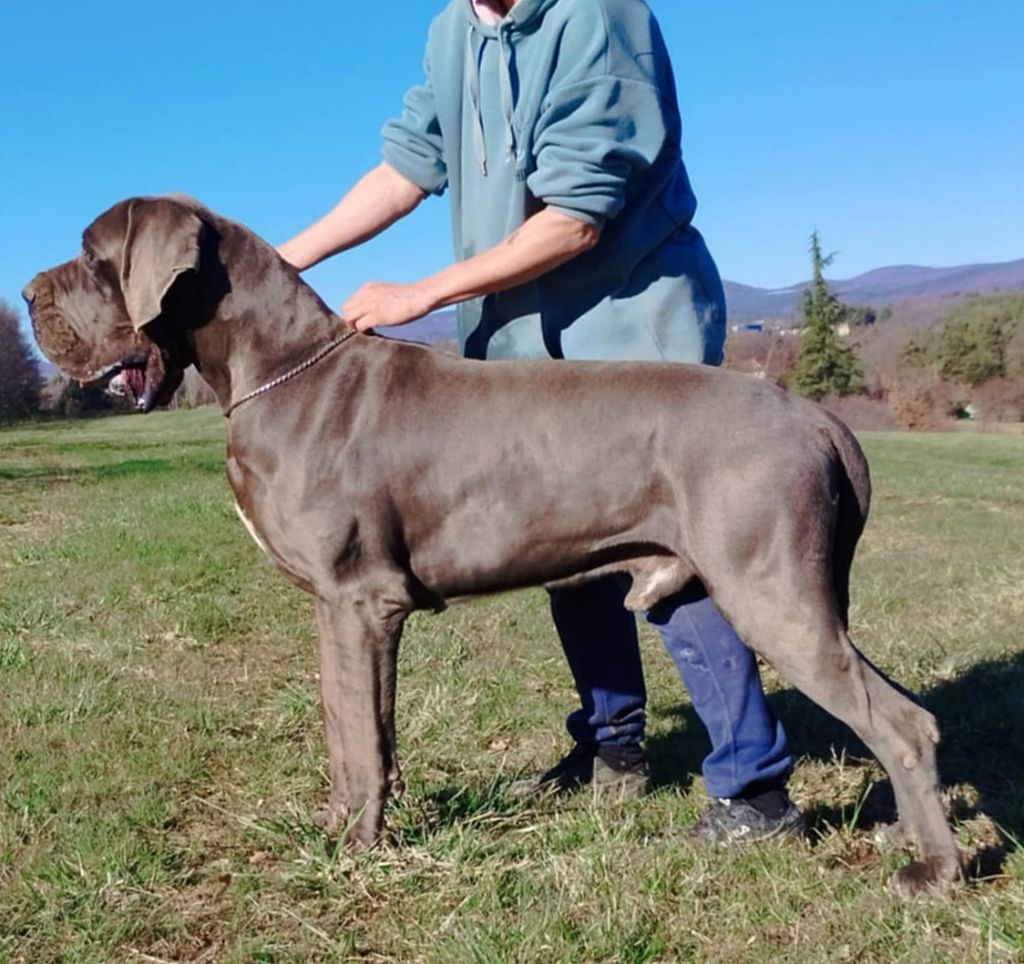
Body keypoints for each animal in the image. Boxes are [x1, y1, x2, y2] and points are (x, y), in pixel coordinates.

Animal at [24, 195, 962, 893]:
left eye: (93, 255)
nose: (28, 293)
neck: (278, 371)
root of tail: (815, 415)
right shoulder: (351, 612)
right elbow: (357, 727)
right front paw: (342, 825)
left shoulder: (357, 600)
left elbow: (358, 737)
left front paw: (355, 850)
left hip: (769, 585)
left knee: (901, 722)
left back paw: (936, 870)